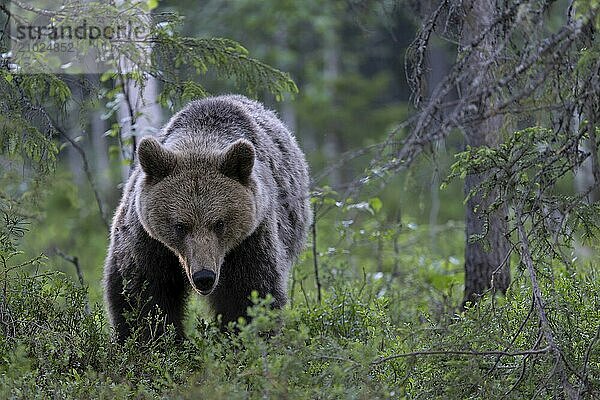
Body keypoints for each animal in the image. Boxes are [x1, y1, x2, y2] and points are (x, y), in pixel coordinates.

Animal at [103, 94, 310, 340]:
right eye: (180, 225)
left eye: (219, 223)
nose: (204, 276)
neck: (200, 136)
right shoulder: (147, 239)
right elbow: (142, 292)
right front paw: (155, 338)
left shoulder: (251, 237)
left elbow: (252, 292)